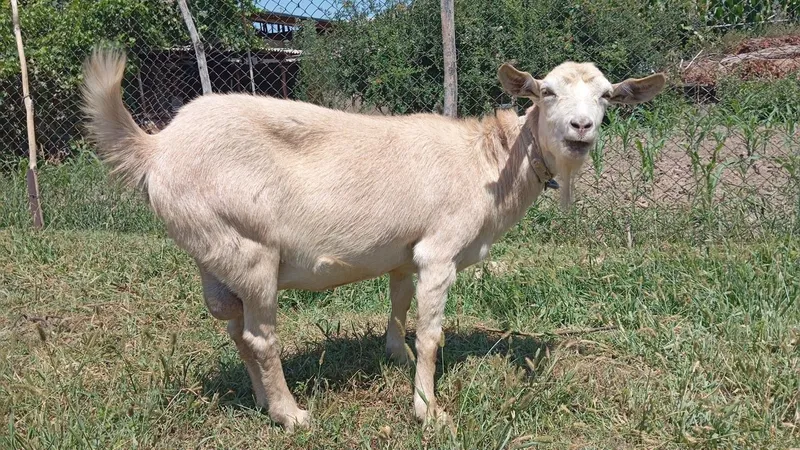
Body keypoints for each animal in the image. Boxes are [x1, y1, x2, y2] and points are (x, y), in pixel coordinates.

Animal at [81, 47, 665, 430]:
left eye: (607, 96)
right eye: (546, 92)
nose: (582, 128)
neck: (487, 162)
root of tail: (156, 148)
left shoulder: (407, 252)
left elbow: (400, 304)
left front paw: (396, 357)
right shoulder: (439, 250)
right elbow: (433, 335)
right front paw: (430, 410)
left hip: (213, 256)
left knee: (234, 329)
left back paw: (263, 402)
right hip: (247, 249)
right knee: (261, 337)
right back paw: (292, 415)